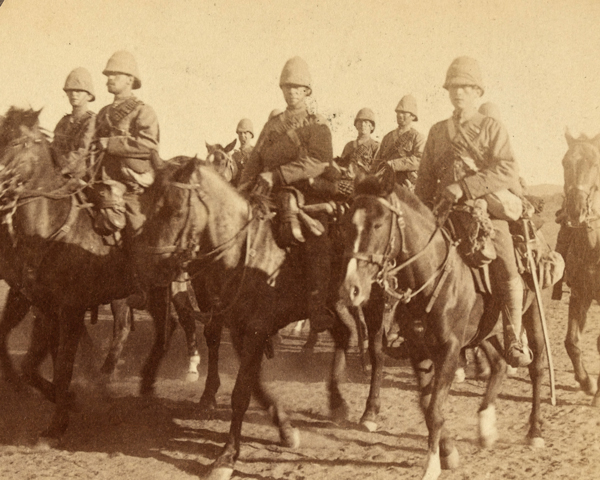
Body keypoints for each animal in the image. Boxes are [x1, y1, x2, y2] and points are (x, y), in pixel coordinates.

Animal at [136, 157, 358, 480]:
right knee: (343, 334)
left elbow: (241, 392)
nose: (148, 267)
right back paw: (338, 403)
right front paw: (285, 429)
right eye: (145, 205)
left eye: (175, 210)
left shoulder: (254, 331)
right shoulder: (240, 330)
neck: (244, 253)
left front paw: (226, 457)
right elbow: (253, 384)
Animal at [338, 177, 548, 480]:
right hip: (484, 330)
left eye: (378, 224)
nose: (351, 288)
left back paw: (534, 431)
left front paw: (432, 465)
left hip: (531, 316)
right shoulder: (419, 348)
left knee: (536, 369)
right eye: (345, 224)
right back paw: (486, 428)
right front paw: (448, 451)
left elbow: (435, 409)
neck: (432, 275)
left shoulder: (449, 348)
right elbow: (428, 404)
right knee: (498, 363)